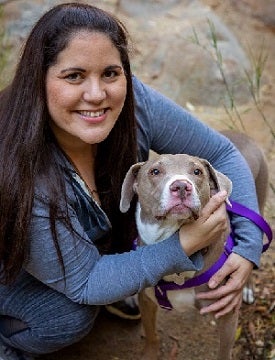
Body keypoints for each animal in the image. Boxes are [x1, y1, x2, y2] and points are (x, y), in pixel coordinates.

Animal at [119, 131, 268, 360]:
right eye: (155, 171)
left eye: (197, 171)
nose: (181, 186)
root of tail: (240, 135)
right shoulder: (146, 301)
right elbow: (151, 336)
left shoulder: (227, 314)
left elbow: (224, 351)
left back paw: (247, 288)